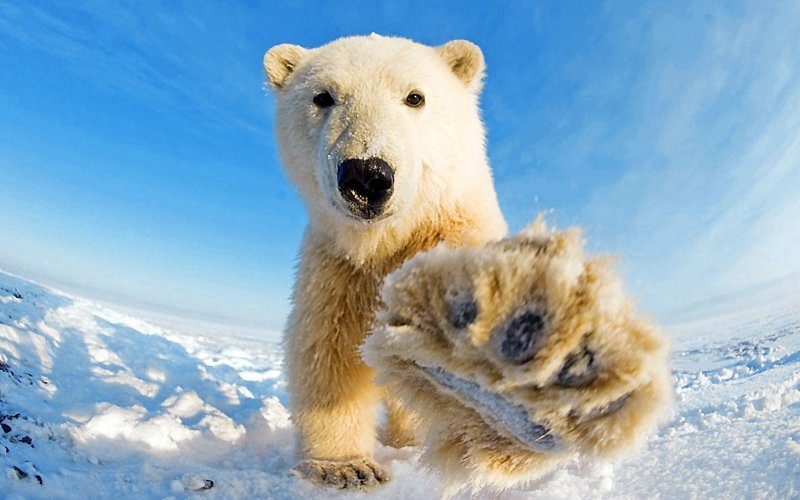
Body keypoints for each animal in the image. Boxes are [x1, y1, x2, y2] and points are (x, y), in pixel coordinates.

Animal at [263, 34, 507, 489]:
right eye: (322, 96)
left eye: (415, 97)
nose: (366, 175)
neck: (388, 242)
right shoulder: (339, 272)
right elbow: (329, 352)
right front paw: (343, 467)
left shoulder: (456, 250)